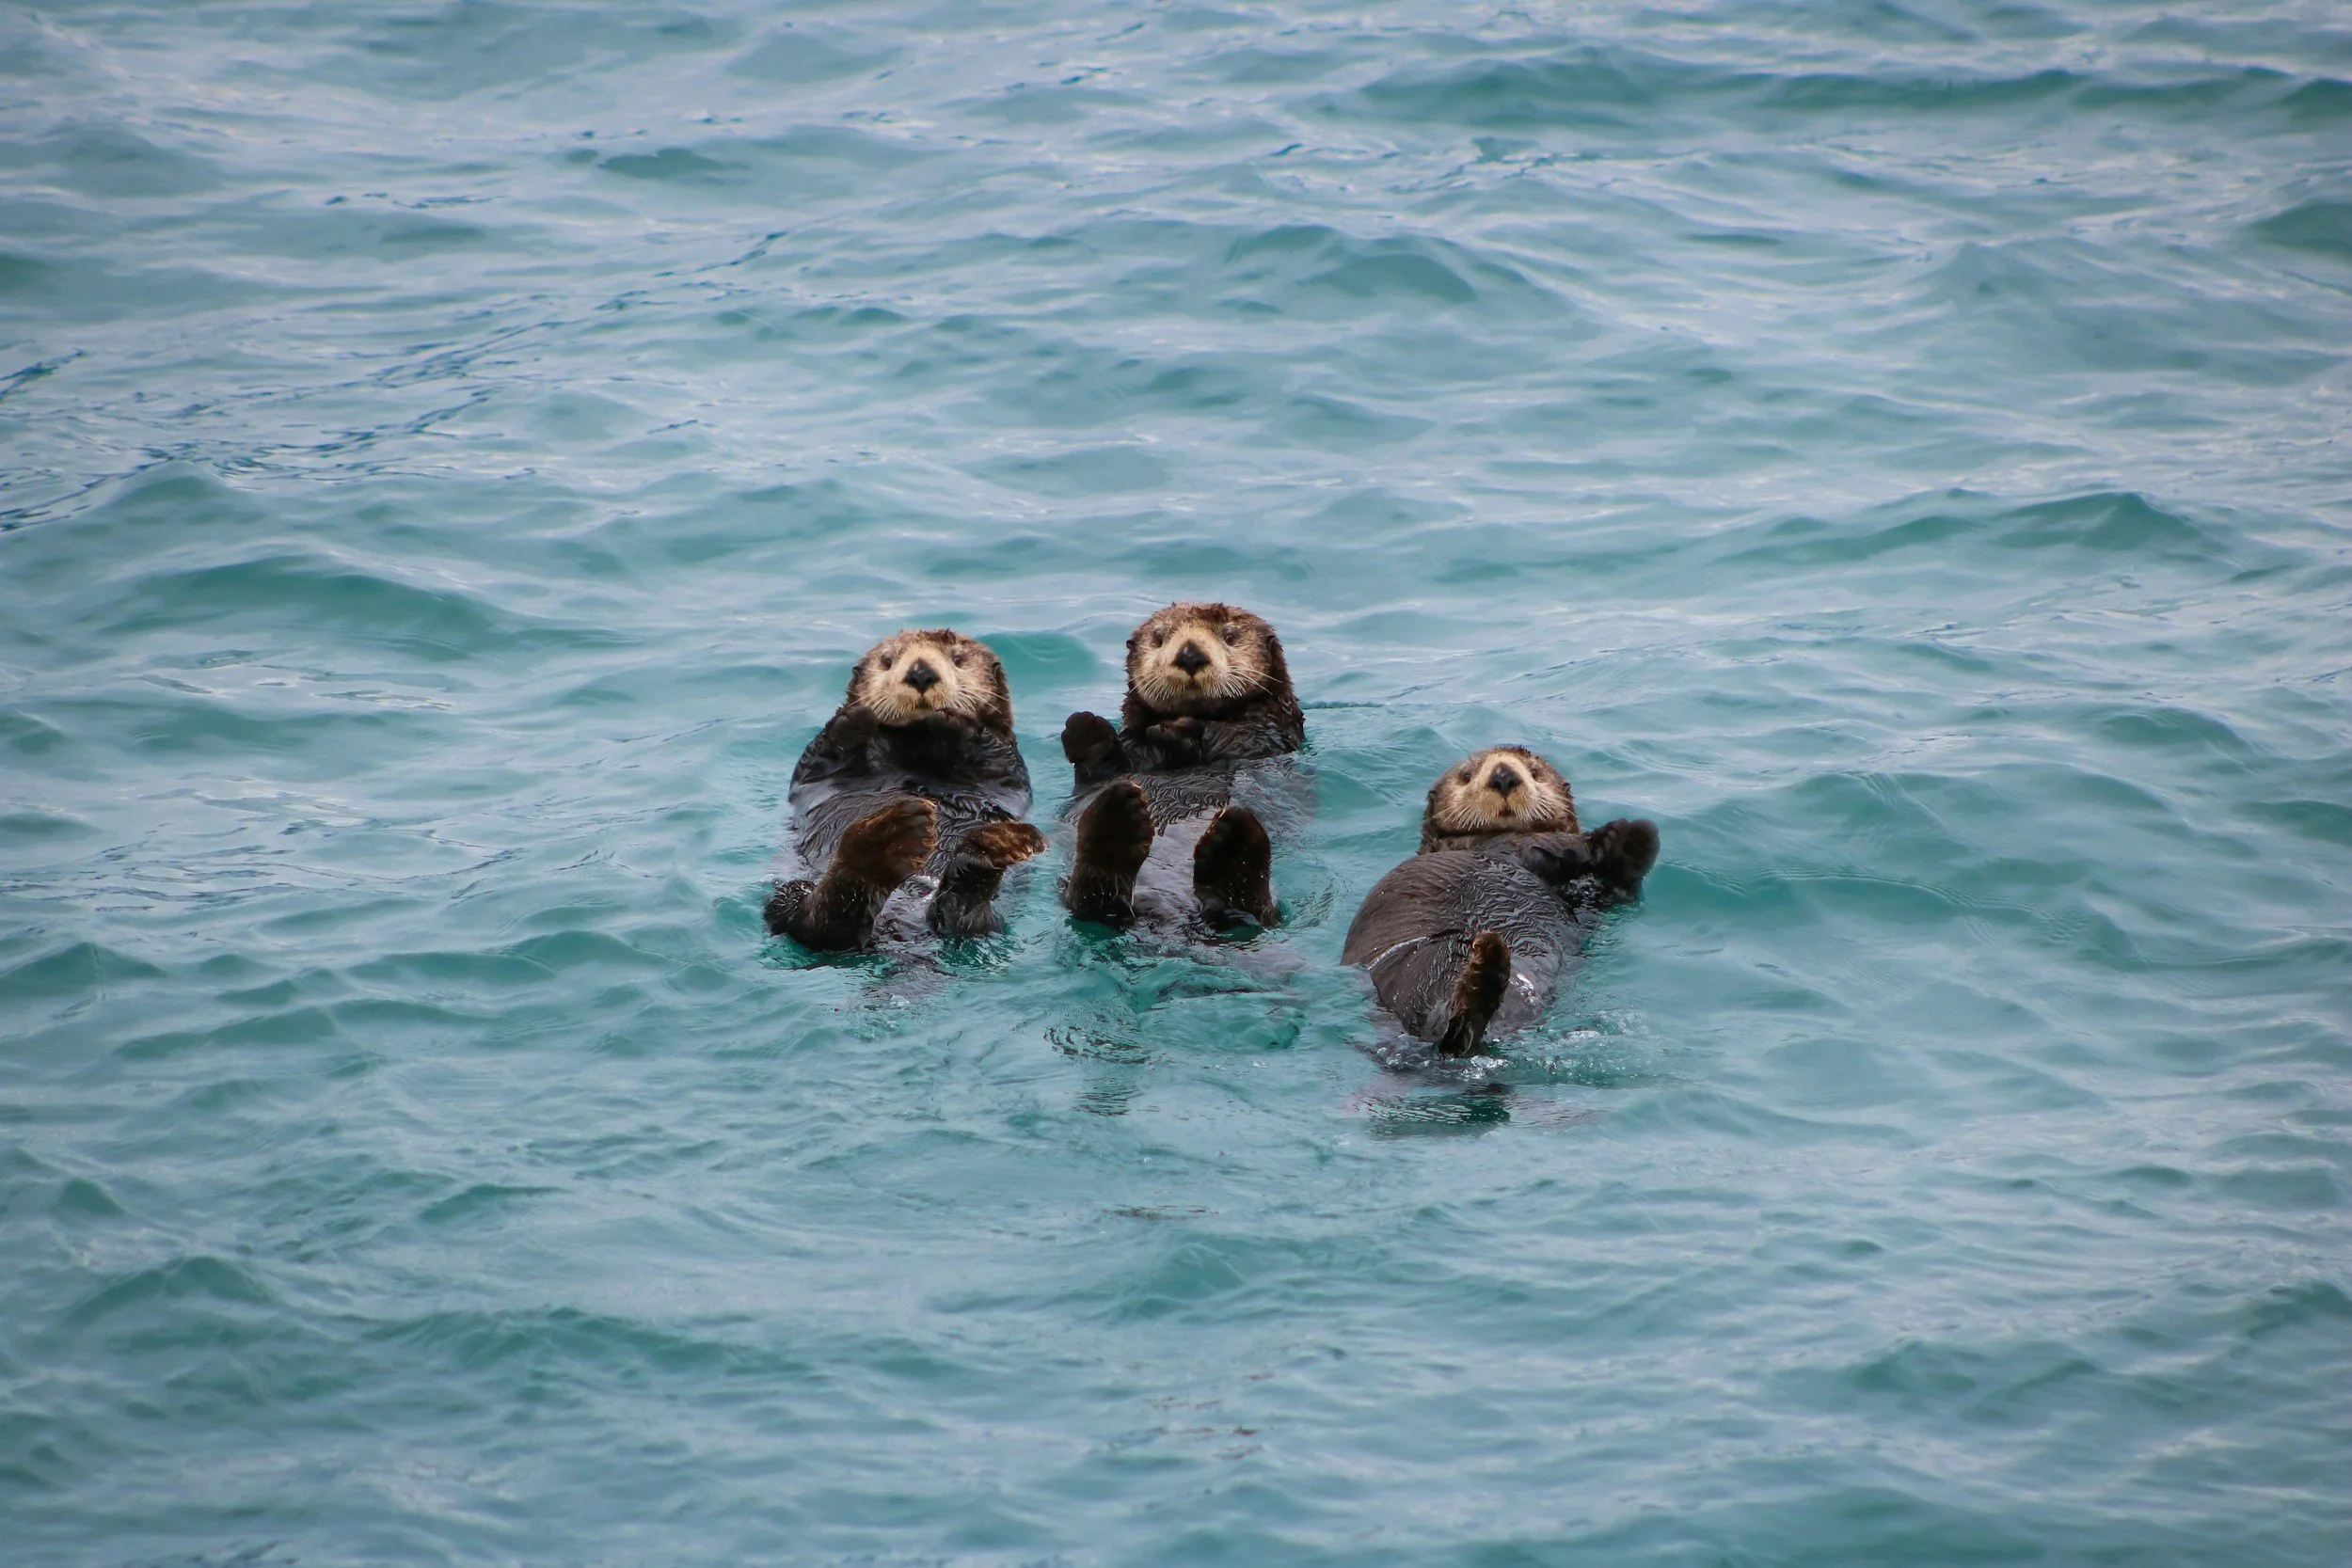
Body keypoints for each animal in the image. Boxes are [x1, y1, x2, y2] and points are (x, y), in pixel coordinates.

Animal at [764, 629, 1047, 950]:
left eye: (958, 659)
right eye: (887, 661)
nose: (921, 673)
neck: (915, 748)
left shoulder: (1007, 765)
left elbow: (993, 754)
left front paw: (953, 721)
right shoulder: (815, 768)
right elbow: (822, 755)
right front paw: (858, 715)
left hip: (992, 921)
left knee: (962, 921)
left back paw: (983, 853)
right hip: (789, 891)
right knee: (815, 924)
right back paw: (887, 840)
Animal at [1058, 602, 1307, 929]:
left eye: (1230, 636)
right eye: (1159, 638)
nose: (1190, 655)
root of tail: (1167, 910)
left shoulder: (1266, 736)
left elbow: (1232, 737)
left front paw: (1176, 731)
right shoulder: (1126, 758)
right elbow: (1102, 767)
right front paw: (1086, 728)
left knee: (1255, 913)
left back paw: (1233, 842)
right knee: (1091, 900)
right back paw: (1117, 818)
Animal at [1342, 746, 1658, 1057]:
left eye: (1535, 772)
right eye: (1466, 775)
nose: (1504, 776)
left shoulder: (1587, 901)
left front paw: (1632, 842)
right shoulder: (1508, 846)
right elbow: (1547, 845)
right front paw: (1609, 837)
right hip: (1422, 967)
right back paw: (1484, 972)